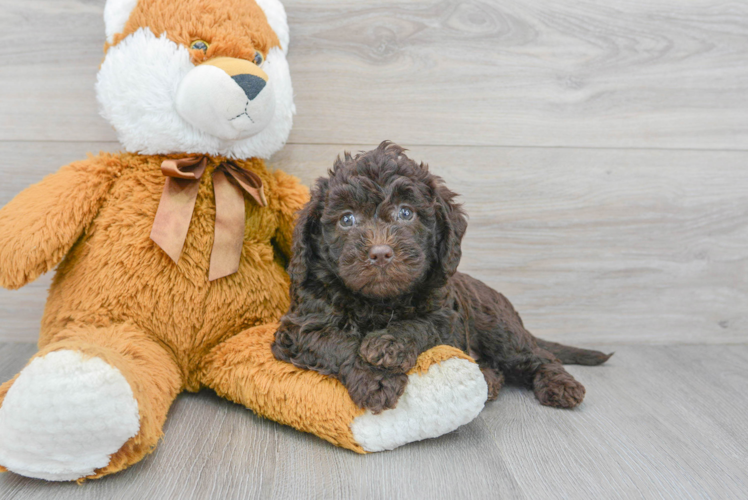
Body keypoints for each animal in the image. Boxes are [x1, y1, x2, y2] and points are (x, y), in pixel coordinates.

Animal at [272, 142, 612, 414]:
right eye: (346, 219)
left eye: (406, 213)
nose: (380, 253)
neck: (378, 302)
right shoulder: (299, 327)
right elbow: (335, 340)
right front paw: (375, 379)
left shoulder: (446, 318)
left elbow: (419, 325)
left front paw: (387, 345)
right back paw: (489, 380)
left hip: (500, 330)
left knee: (541, 356)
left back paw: (561, 386)